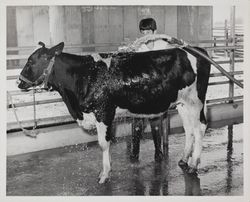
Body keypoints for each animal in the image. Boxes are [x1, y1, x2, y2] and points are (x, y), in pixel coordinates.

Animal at [16, 41, 210, 184]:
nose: (19, 82)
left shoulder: (104, 112)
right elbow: (107, 142)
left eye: (31, 61)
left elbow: (103, 143)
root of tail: (197, 50)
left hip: (195, 101)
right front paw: (106, 169)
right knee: (189, 129)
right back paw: (184, 159)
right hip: (182, 103)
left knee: (200, 127)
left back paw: (194, 164)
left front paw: (104, 175)